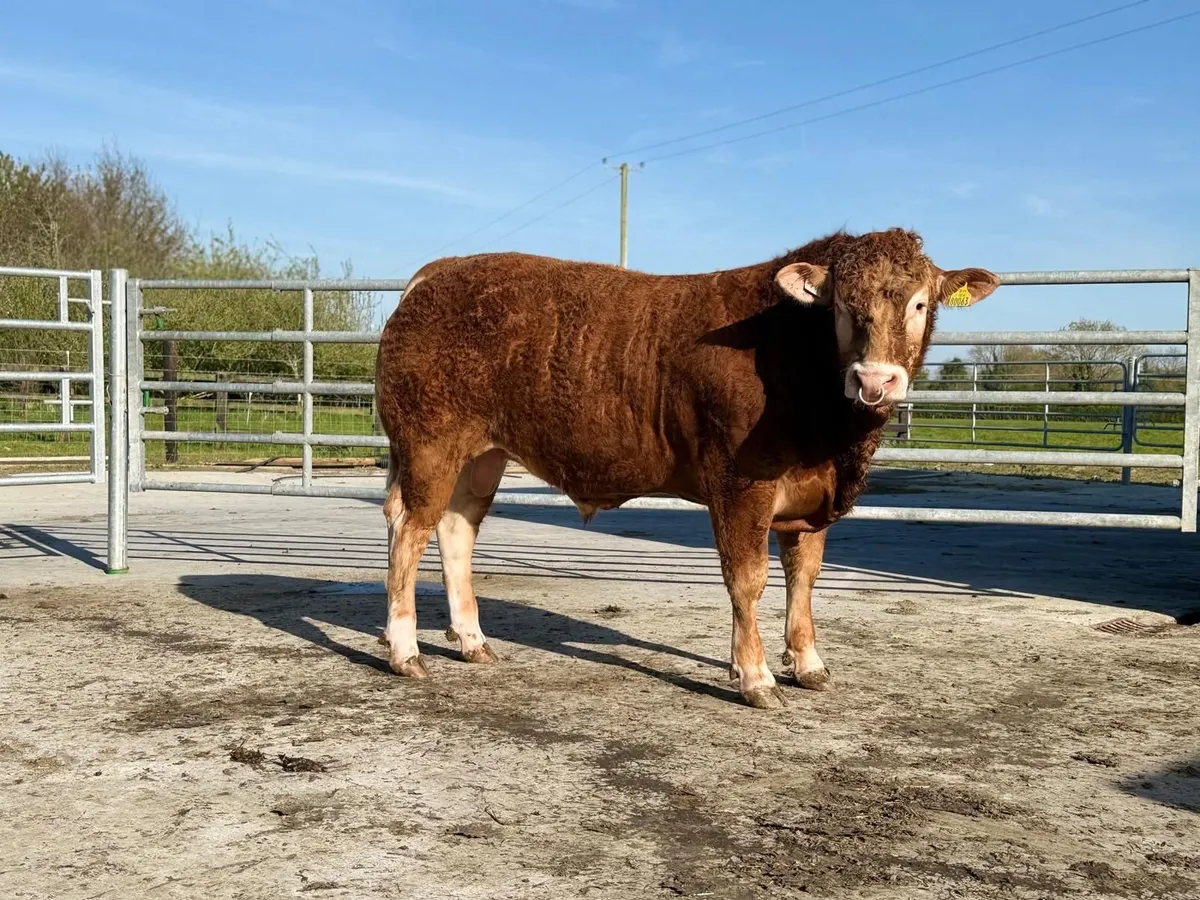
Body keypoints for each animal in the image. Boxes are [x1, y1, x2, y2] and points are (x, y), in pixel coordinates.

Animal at [374, 228, 999, 709]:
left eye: (919, 303)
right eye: (843, 306)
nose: (875, 379)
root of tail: (441, 270)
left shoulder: (809, 498)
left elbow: (804, 578)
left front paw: (808, 663)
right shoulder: (741, 483)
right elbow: (748, 579)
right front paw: (756, 678)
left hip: (482, 455)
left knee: (456, 528)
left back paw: (472, 641)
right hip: (430, 443)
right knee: (410, 529)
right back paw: (406, 651)